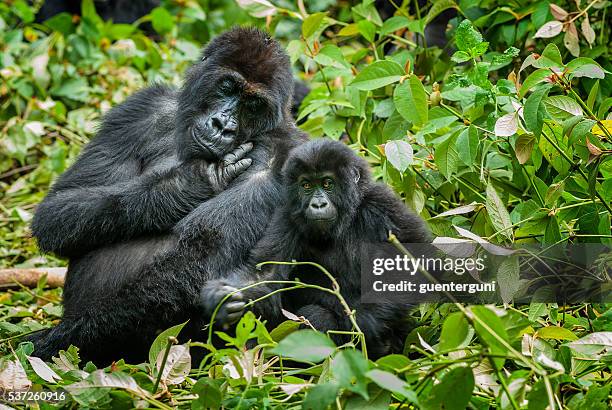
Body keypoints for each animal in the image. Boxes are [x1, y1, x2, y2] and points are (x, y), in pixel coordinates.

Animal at [29, 27, 306, 364]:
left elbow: (201, 257)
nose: (222, 125)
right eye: (227, 86)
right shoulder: (141, 108)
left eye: (253, 104)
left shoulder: (282, 154)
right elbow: (57, 209)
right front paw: (188, 184)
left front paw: (53, 341)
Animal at [204, 139, 430, 358]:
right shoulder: (288, 216)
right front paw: (219, 297)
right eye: (306, 185)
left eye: (327, 183)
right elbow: (264, 273)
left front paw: (363, 321)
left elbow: (417, 262)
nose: (318, 204)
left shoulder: (382, 203)